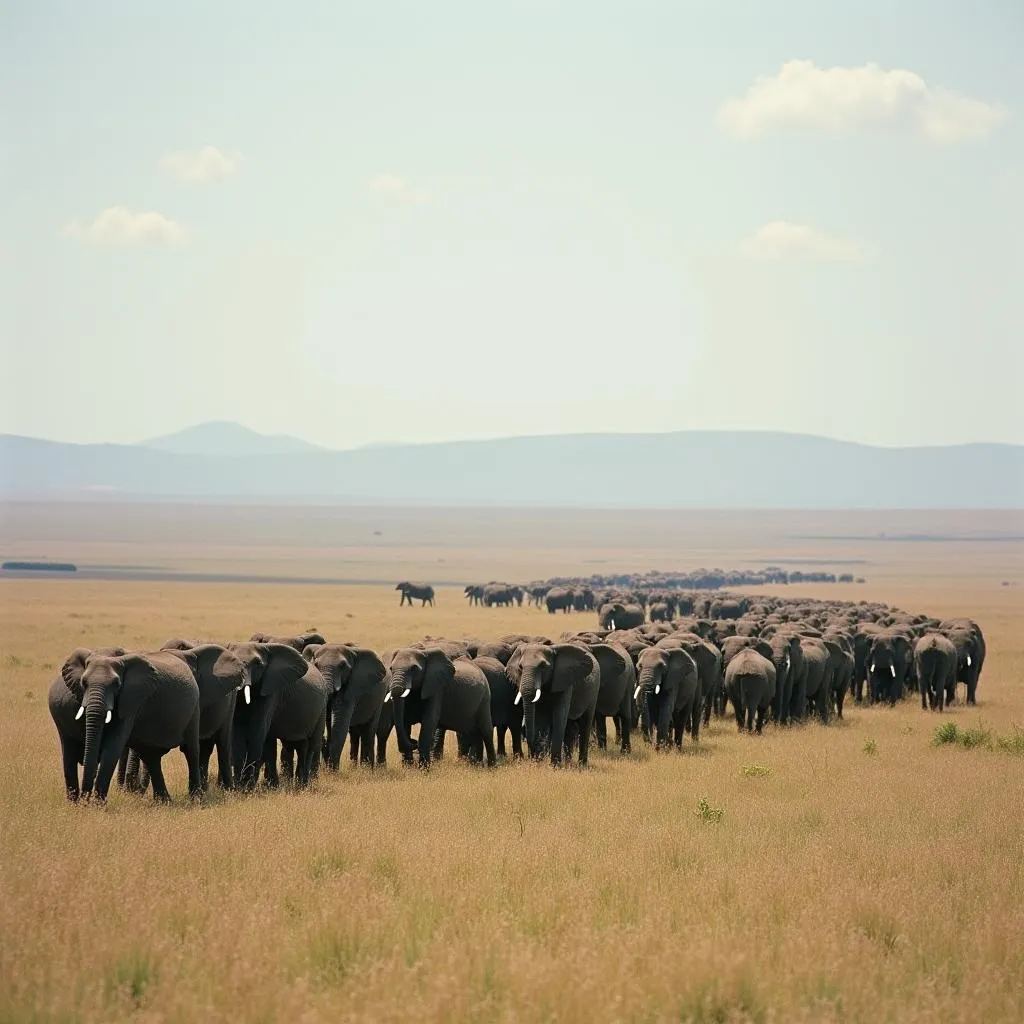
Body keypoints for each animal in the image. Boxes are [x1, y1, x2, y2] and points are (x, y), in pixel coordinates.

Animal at [58, 651, 203, 802]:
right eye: (83, 683)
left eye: (116, 684)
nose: (84, 800)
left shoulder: (131, 701)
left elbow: (113, 746)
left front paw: (97, 805)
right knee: (151, 757)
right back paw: (164, 801)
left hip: (194, 706)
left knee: (191, 750)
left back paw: (195, 799)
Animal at [227, 638, 327, 790]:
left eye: (258, 664)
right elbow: (236, 731)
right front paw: (240, 787)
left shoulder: (272, 691)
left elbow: (257, 730)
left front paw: (248, 788)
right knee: (293, 744)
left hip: (322, 708)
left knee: (310, 745)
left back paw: (302, 786)